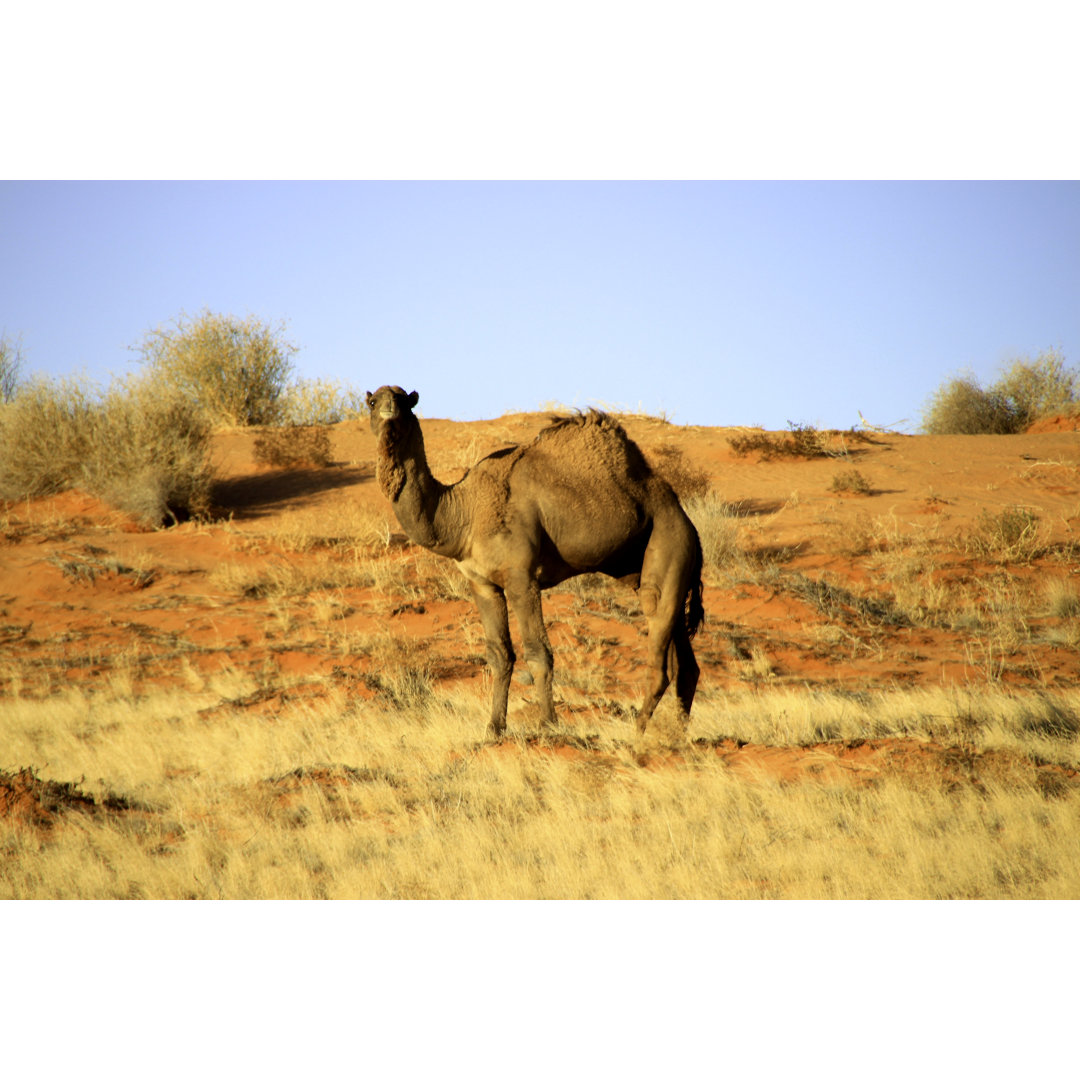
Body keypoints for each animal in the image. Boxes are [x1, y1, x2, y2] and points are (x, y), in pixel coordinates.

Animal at [367, 384, 704, 738]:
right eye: (372, 402)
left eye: (404, 401)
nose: (389, 408)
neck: (464, 511)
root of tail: (687, 520)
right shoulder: (482, 583)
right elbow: (499, 654)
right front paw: (494, 727)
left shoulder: (521, 577)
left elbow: (538, 652)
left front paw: (547, 723)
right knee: (686, 664)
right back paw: (677, 736)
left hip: (669, 542)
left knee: (659, 647)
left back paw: (637, 733)